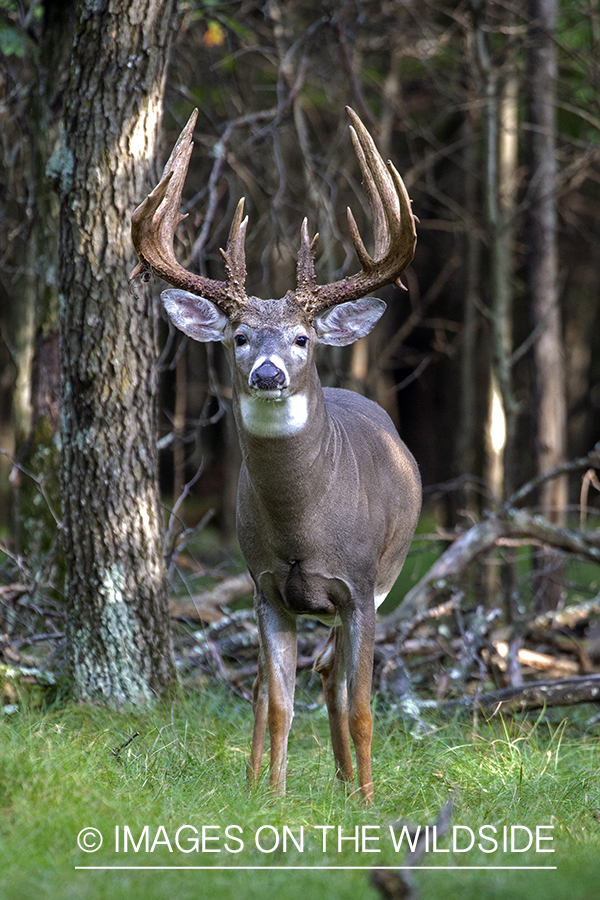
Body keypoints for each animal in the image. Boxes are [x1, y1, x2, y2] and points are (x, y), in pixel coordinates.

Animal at [131, 105, 422, 800]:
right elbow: (282, 702)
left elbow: (363, 705)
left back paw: (347, 785)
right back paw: (266, 777)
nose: (267, 373)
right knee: (275, 688)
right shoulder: (265, 586)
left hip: (386, 578)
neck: (303, 524)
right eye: (238, 336)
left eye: (301, 337)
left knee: (334, 679)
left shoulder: (360, 583)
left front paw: (367, 802)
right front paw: (275, 797)